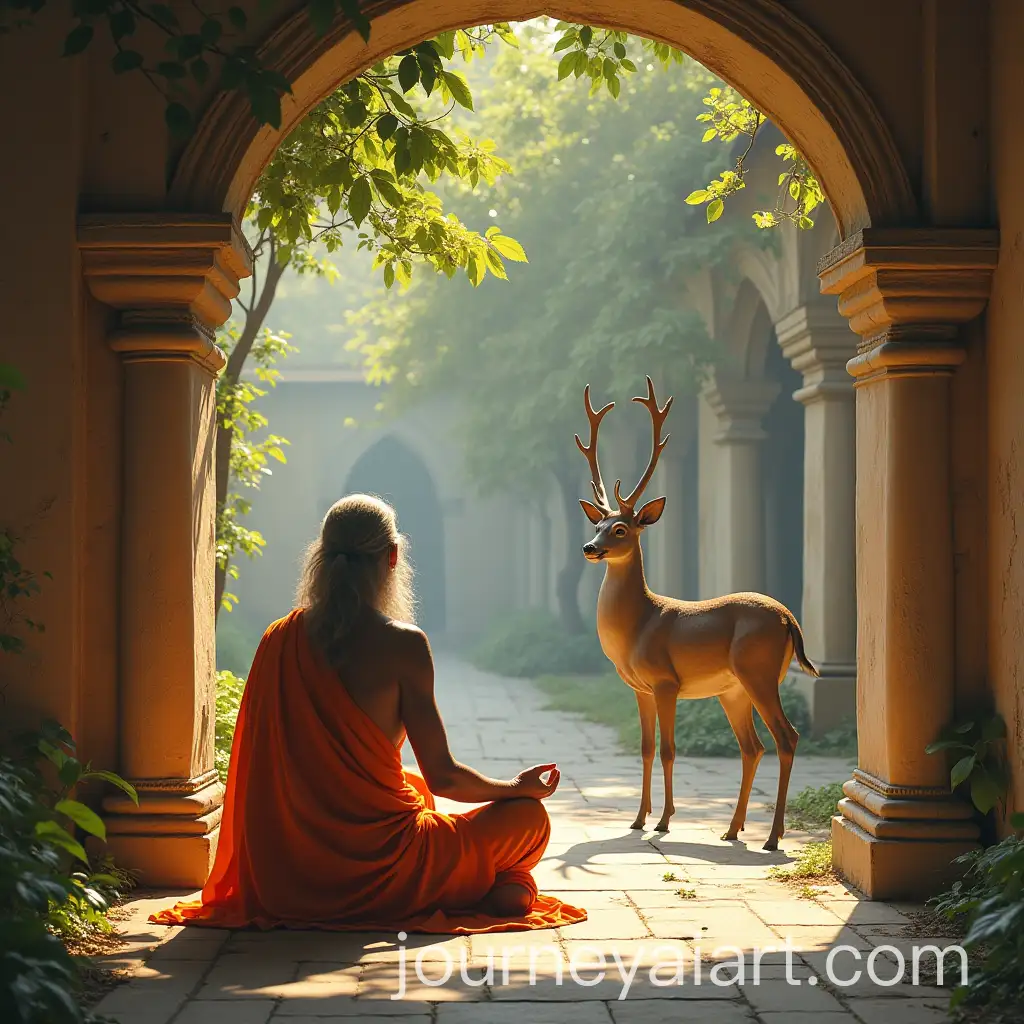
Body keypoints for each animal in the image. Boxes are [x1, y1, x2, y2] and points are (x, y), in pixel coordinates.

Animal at [575, 377, 818, 851]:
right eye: (596, 525)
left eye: (620, 528)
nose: (590, 548)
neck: (638, 627)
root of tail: (789, 618)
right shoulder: (639, 687)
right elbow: (646, 748)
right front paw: (637, 819)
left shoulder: (666, 680)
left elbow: (669, 749)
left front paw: (665, 821)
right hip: (733, 689)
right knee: (752, 746)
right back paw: (732, 829)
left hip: (759, 671)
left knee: (787, 737)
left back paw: (771, 838)